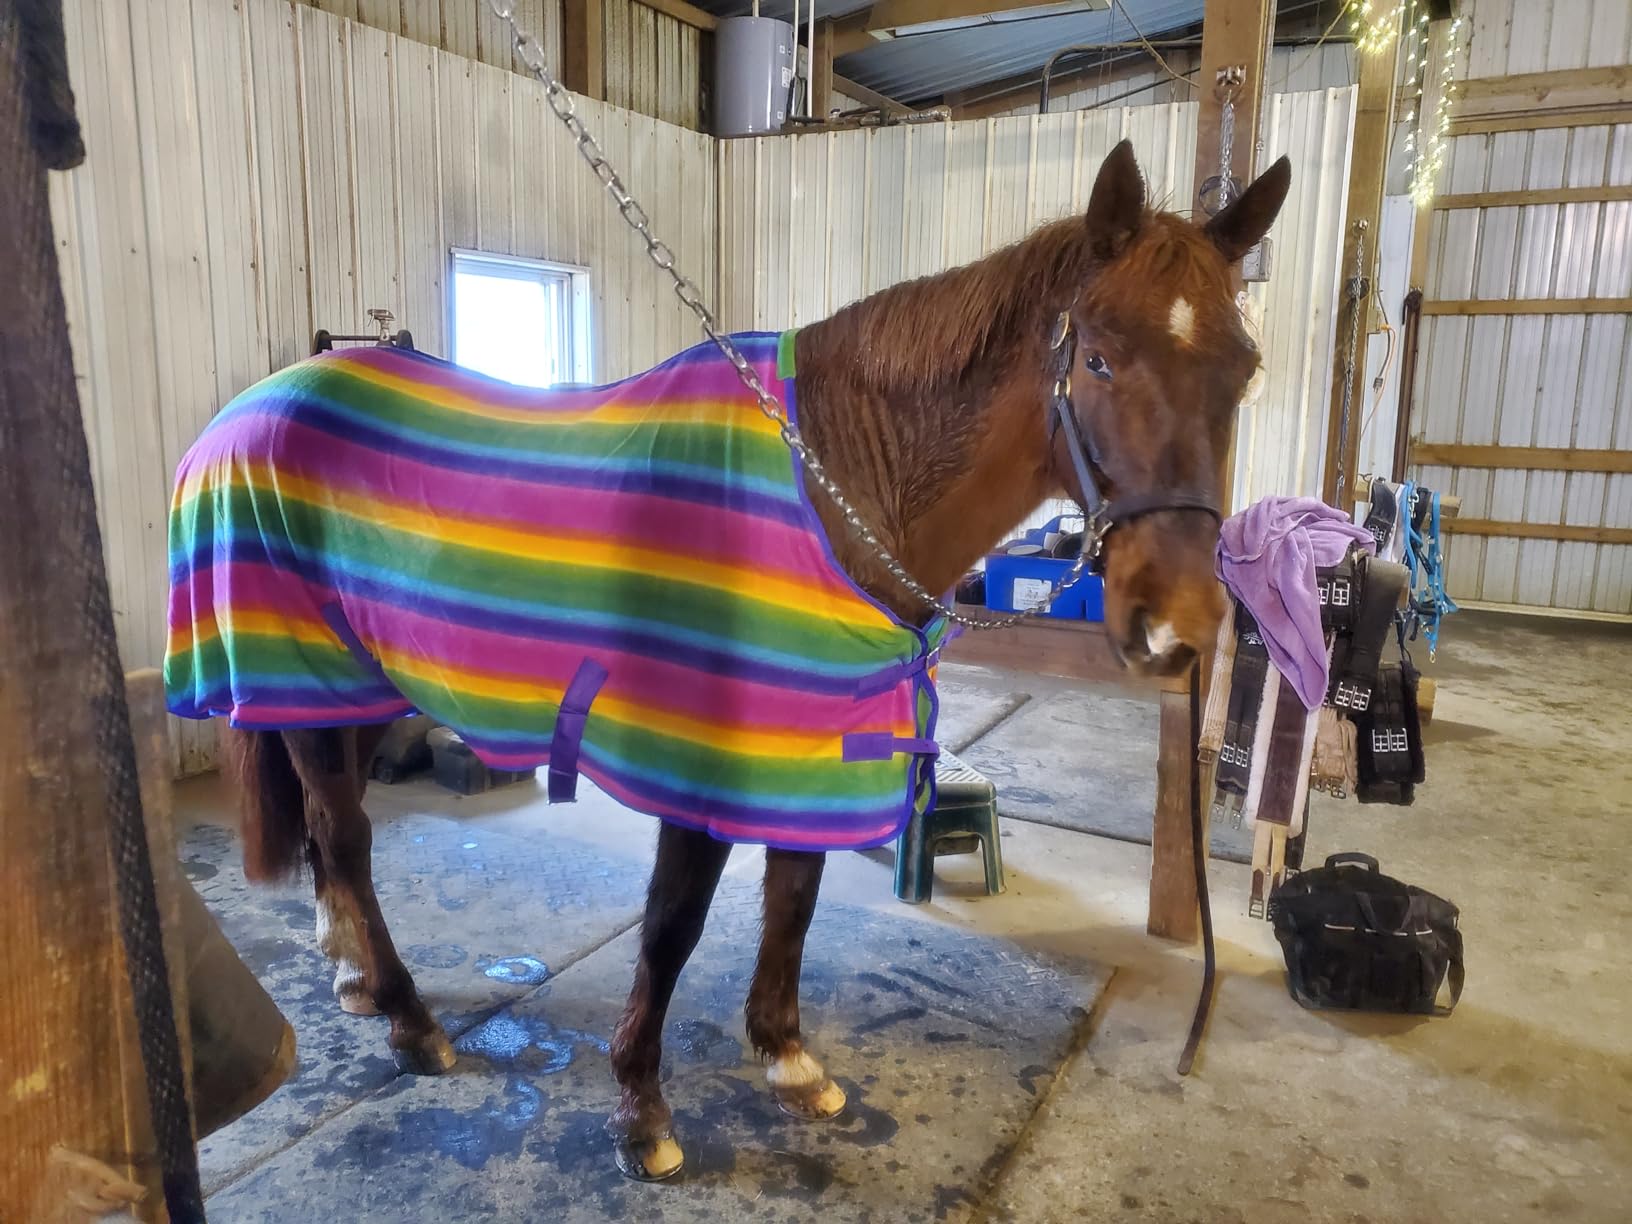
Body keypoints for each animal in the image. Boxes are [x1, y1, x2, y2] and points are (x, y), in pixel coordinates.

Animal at [167, 140, 1289, 1181]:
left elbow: (794, 893)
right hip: (304, 672)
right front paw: (641, 1111)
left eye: (1242, 370)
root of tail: (251, 406)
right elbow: (675, 923)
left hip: (348, 685)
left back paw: (354, 976)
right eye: (1097, 359)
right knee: (346, 836)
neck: (836, 479)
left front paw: (787, 1058)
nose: (1180, 631)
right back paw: (410, 1022)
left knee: (335, 834)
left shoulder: (818, 732)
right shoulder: (699, 758)